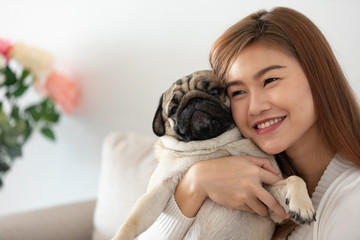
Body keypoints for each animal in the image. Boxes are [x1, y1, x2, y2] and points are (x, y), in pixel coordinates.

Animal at [112, 70, 316, 240]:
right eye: (173, 109)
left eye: (215, 91)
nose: (193, 101)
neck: (213, 145)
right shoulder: (159, 189)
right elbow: (132, 220)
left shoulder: (269, 197)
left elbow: (294, 179)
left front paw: (303, 205)